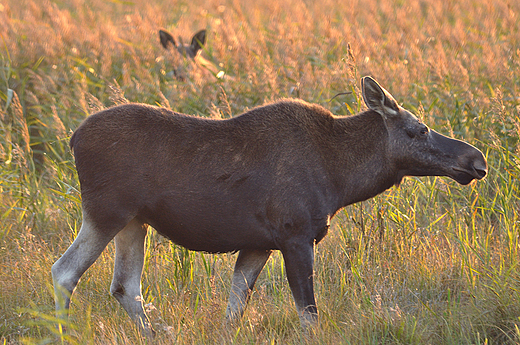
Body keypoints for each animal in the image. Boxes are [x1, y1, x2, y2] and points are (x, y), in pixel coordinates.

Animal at [52, 76, 488, 332]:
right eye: (420, 129)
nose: (476, 159)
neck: (342, 178)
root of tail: (73, 138)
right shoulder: (296, 235)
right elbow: (309, 318)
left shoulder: (257, 244)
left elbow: (233, 312)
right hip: (105, 213)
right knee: (64, 272)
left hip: (134, 222)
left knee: (125, 287)